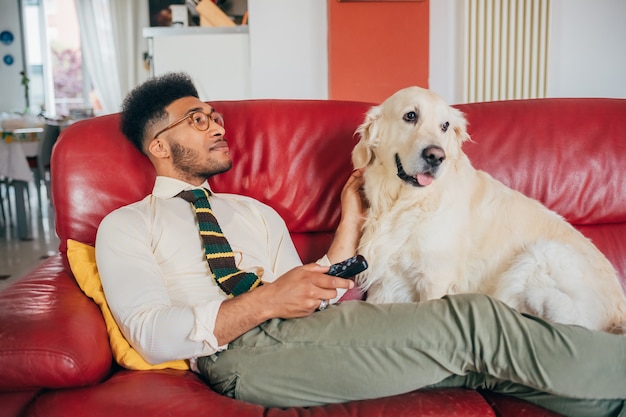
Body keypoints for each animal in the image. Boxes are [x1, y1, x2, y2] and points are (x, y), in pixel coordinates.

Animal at [352, 86, 624, 334]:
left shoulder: (435, 278)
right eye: (410, 116)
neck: (404, 202)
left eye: (445, 126)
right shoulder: (384, 282)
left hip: (541, 253)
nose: (436, 156)